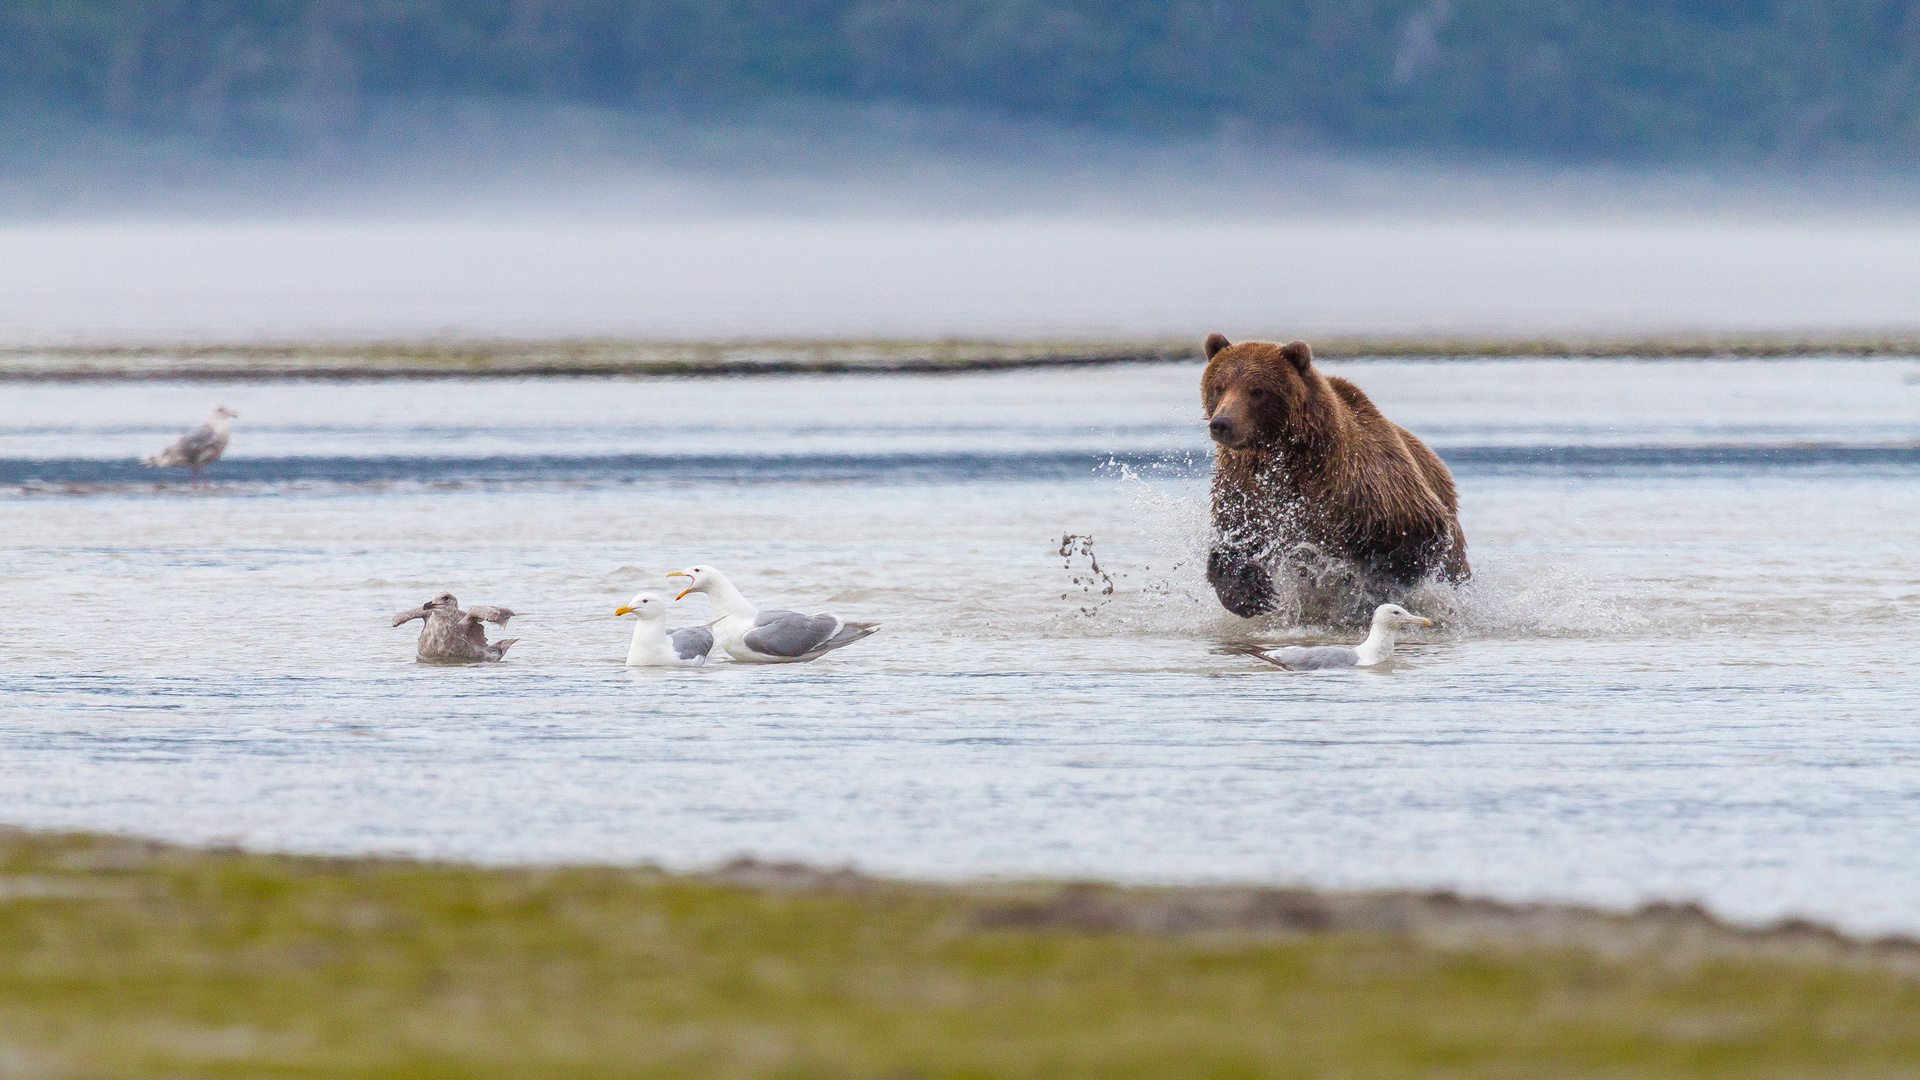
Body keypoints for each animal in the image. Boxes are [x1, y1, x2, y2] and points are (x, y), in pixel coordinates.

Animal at [1198, 334, 1466, 622]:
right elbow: (1234, 541)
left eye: (1257, 390)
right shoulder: (1244, 488)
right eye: (1219, 386)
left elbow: (1415, 535)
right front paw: (1251, 594)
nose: (1222, 423)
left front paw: (1367, 587)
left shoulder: (1370, 487)